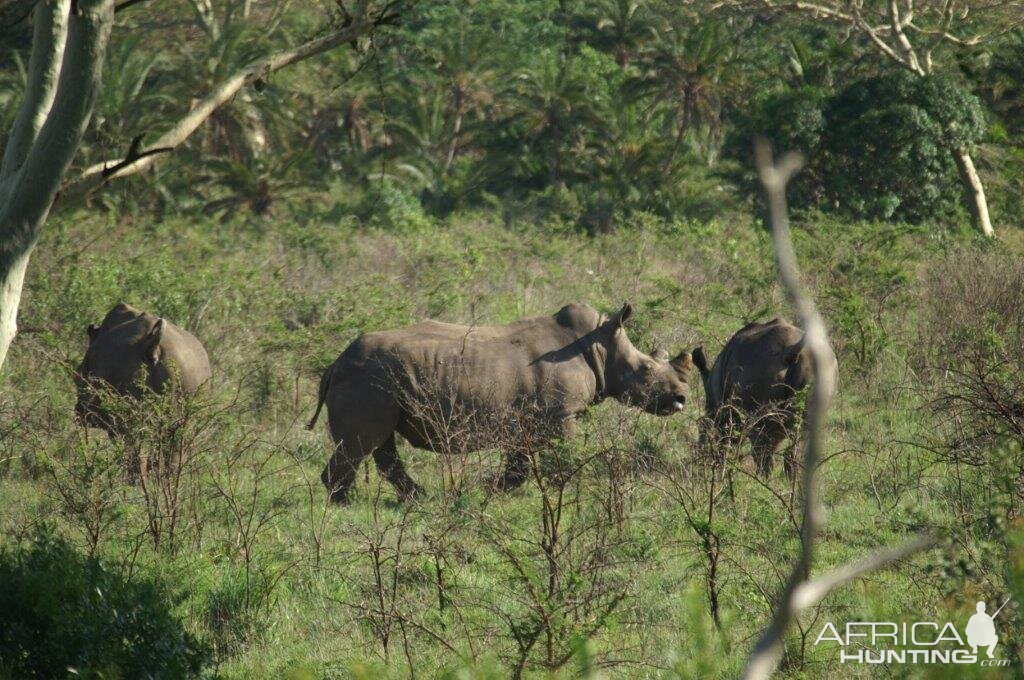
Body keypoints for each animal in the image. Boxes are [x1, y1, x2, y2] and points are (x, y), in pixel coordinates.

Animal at [309, 303, 696, 503]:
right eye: (645, 370)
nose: (680, 399)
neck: (599, 346)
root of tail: (335, 363)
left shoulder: (529, 418)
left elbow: (519, 462)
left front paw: (491, 489)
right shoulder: (563, 413)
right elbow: (563, 455)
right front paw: (569, 490)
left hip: (376, 380)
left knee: (381, 443)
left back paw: (417, 498)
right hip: (367, 379)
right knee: (361, 444)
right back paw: (344, 503)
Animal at [692, 319, 835, 475]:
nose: (699, 460)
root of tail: (793, 351)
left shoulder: (725, 413)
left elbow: (727, 442)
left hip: (760, 371)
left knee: (760, 444)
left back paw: (760, 480)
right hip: (822, 370)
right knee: (801, 437)